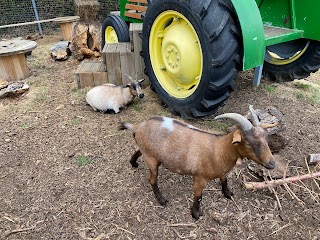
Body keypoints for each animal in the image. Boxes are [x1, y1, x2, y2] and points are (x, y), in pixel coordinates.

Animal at [120, 113, 276, 220]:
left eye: (267, 139)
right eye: (248, 143)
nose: (272, 163)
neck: (218, 149)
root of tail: (138, 127)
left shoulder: (223, 172)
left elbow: (224, 181)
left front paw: (228, 194)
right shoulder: (200, 177)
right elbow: (198, 196)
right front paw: (195, 214)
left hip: (148, 152)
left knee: (138, 150)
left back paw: (133, 162)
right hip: (152, 159)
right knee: (152, 179)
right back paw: (162, 199)